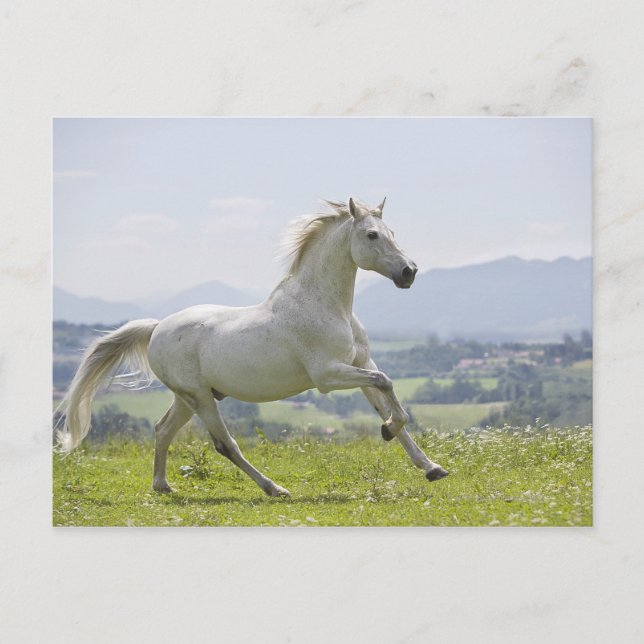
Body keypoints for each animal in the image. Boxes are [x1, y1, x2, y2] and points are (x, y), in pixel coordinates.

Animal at [56, 198, 448, 496]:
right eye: (371, 235)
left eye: (392, 233)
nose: (409, 272)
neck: (324, 304)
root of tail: (156, 329)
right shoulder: (328, 376)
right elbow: (387, 385)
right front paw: (389, 432)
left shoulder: (361, 363)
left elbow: (387, 400)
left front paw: (430, 466)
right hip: (199, 398)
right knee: (224, 444)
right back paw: (274, 488)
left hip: (189, 397)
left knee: (162, 429)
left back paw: (162, 486)